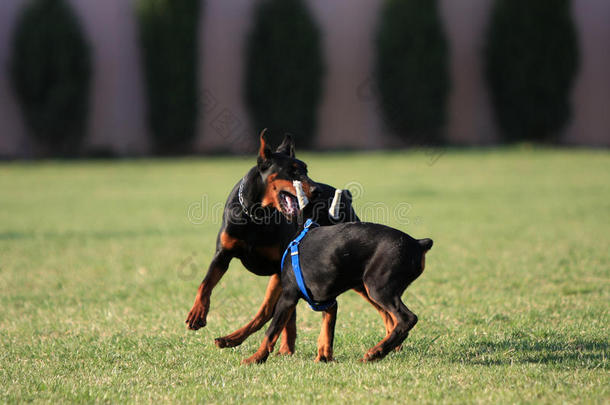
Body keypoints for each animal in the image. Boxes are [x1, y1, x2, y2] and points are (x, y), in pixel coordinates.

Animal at [185, 130, 356, 354]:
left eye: (306, 170)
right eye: (292, 171)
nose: (317, 190)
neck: (257, 215)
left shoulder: (281, 266)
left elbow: (275, 312)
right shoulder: (223, 254)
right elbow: (205, 284)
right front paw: (197, 313)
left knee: (273, 311)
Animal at [240, 183, 430, 362]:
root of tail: (418, 243)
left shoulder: (288, 296)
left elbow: (272, 331)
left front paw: (255, 358)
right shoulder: (329, 302)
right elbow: (327, 333)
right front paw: (323, 358)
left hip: (379, 288)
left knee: (407, 319)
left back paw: (375, 352)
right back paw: (380, 352)